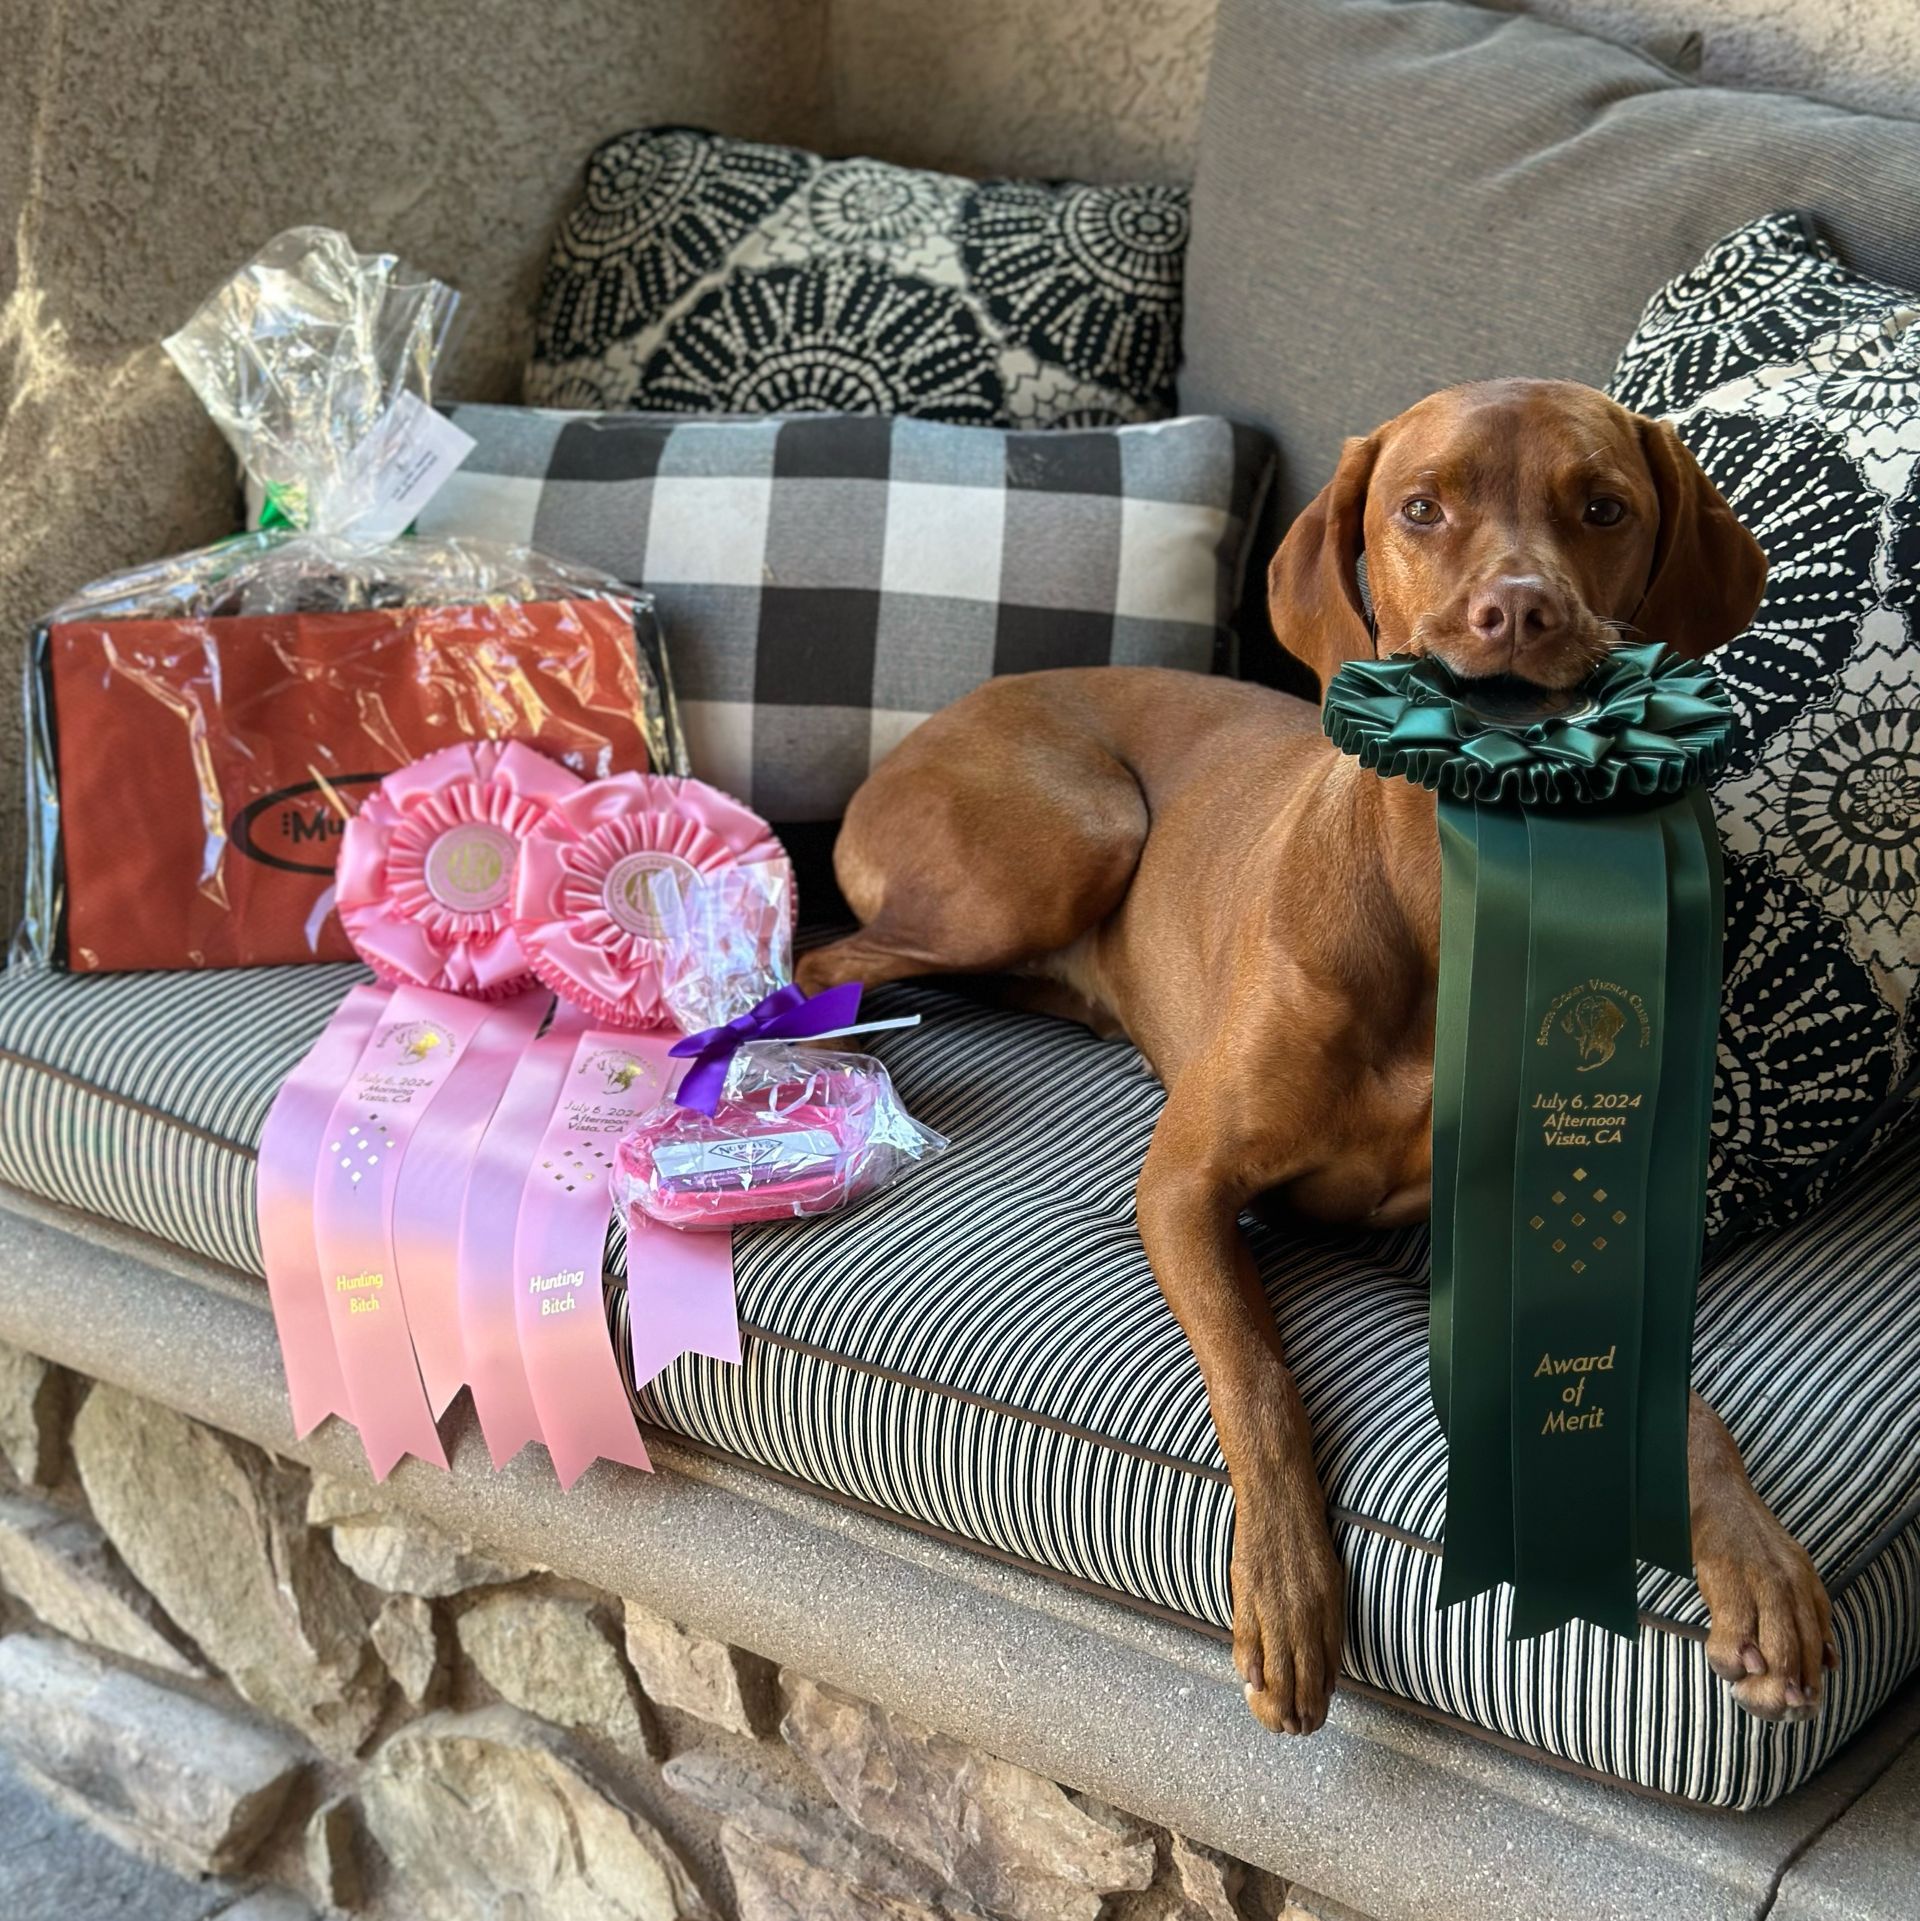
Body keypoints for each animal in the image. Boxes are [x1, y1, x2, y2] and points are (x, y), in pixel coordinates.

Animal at [803, 382, 1837, 1736]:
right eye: (1422, 507)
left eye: (1604, 507)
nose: (1520, 610)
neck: (1442, 907)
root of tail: (936, 717)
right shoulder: (1183, 1182)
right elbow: (1258, 1380)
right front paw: (1288, 1589)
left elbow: (1684, 1401)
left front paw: (1757, 1560)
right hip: (1074, 834)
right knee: (822, 955)